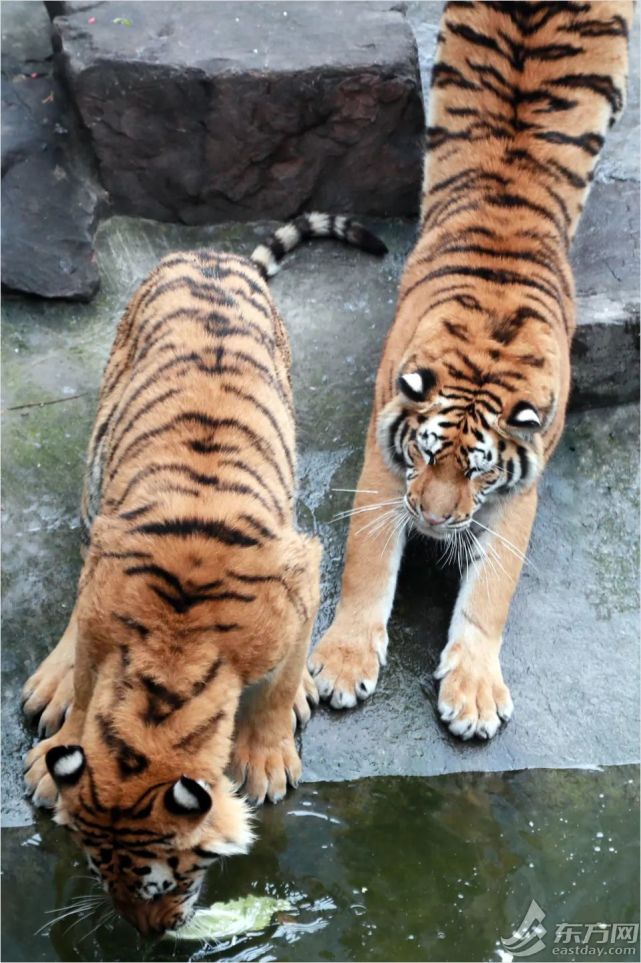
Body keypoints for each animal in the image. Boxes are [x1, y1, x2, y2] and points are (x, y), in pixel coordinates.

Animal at [21, 211, 384, 932]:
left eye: (166, 879)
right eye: (98, 871)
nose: (149, 933)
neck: (172, 656)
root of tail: (213, 254)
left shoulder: (302, 576)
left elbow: (274, 687)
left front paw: (265, 755)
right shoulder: (103, 605)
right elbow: (88, 683)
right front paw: (63, 745)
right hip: (99, 465)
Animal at [308, 0, 632, 740]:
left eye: (480, 470)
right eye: (427, 453)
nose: (430, 521)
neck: (489, 345)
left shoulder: (521, 487)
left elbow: (492, 587)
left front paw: (475, 690)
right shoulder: (383, 454)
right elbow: (367, 560)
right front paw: (343, 661)